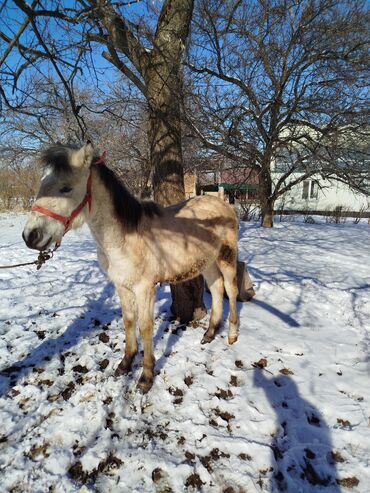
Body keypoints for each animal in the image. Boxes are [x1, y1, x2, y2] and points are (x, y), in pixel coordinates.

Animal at [23, 143, 238, 392]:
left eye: (65, 188)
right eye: (42, 183)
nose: (30, 236)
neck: (124, 237)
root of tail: (222, 203)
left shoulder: (145, 289)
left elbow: (145, 327)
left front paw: (145, 376)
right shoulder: (122, 286)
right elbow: (128, 321)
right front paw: (125, 363)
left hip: (226, 258)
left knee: (231, 290)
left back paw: (232, 336)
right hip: (208, 262)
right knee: (216, 288)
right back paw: (210, 333)